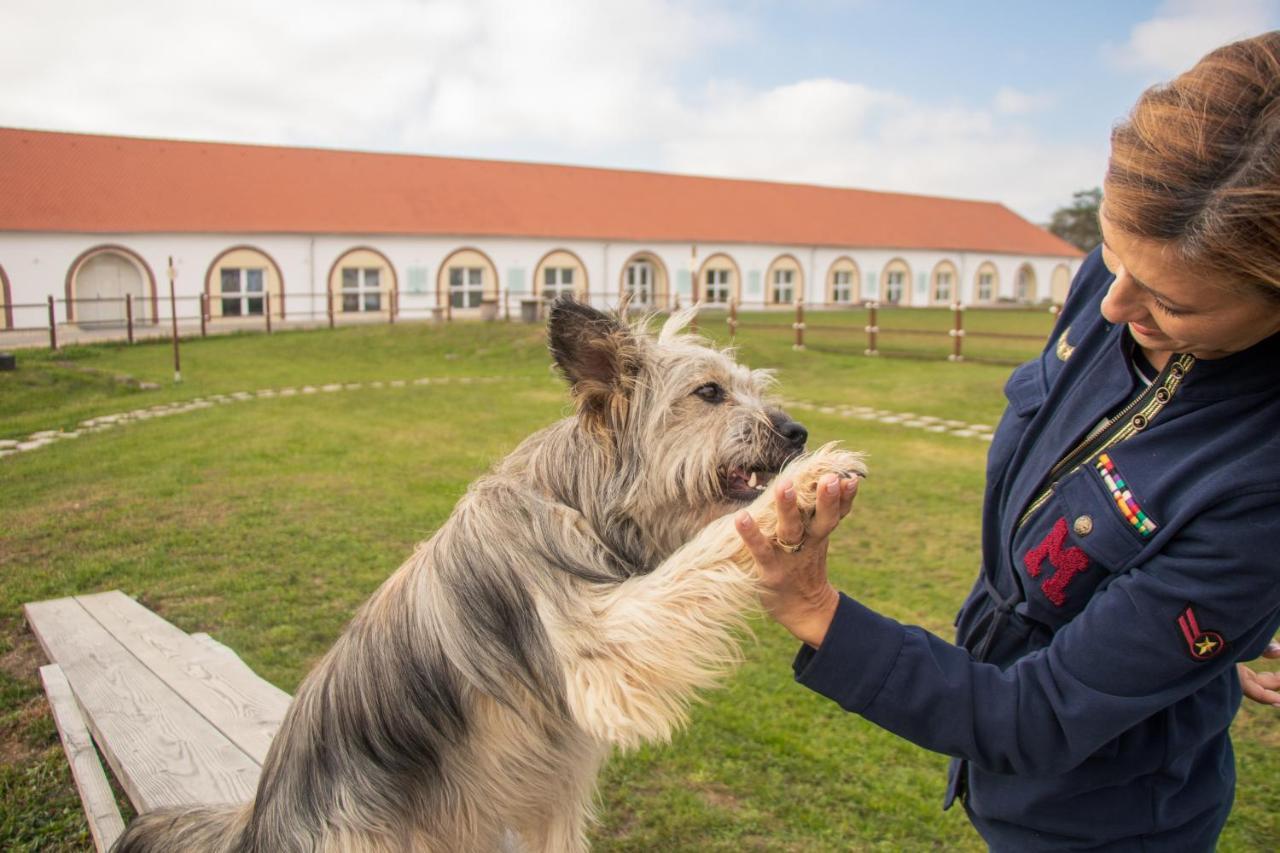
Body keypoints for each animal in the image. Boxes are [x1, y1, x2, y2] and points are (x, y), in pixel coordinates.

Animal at [112, 298, 870, 850]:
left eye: (751, 390)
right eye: (709, 392)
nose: (796, 432)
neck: (579, 498)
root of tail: (260, 818)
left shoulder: (553, 786)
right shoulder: (604, 637)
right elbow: (703, 553)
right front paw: (809, 477)